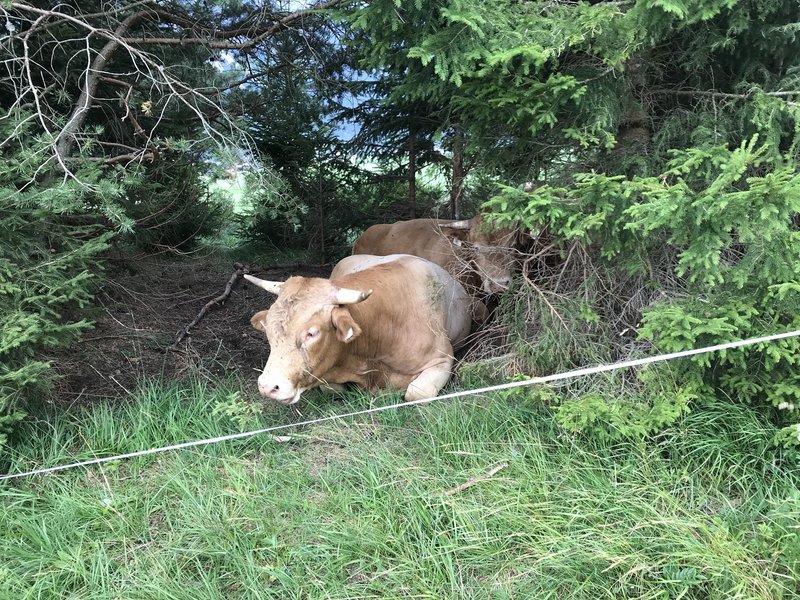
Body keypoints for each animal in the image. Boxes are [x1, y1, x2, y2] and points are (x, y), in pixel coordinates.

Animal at [245, 254, 471, 406]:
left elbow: (416, 393)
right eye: (269, 331)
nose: (267, 387)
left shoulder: (442, 359)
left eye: (312, 333)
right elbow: (330, 387)